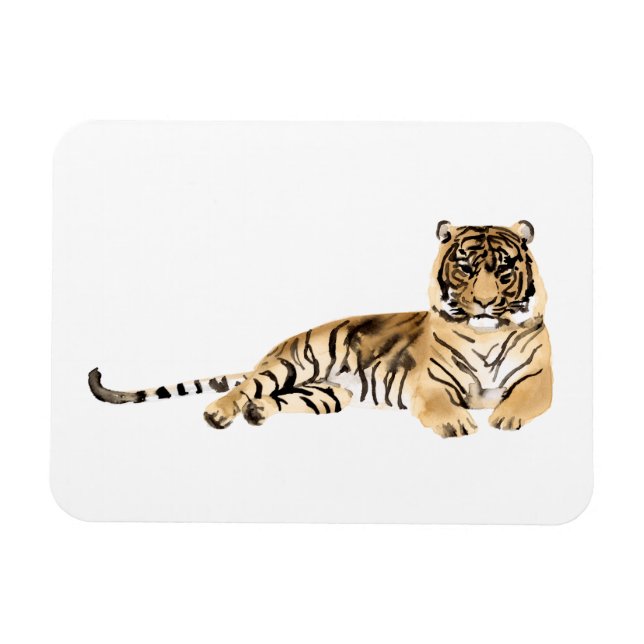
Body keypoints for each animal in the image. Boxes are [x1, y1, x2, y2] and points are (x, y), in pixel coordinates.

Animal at [89, 220, 552, 438]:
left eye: (505, 269)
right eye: (465, 267)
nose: (485, 303)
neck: (487, 333)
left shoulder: (538, 378)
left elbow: (524, 399)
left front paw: (504, 417)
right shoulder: (432, 385)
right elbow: (444, 407)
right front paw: (458, 424)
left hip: (327, 393)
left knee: (273, 398)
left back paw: (256, 413)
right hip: (296, 363)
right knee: (245, 386)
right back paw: (218, 412)